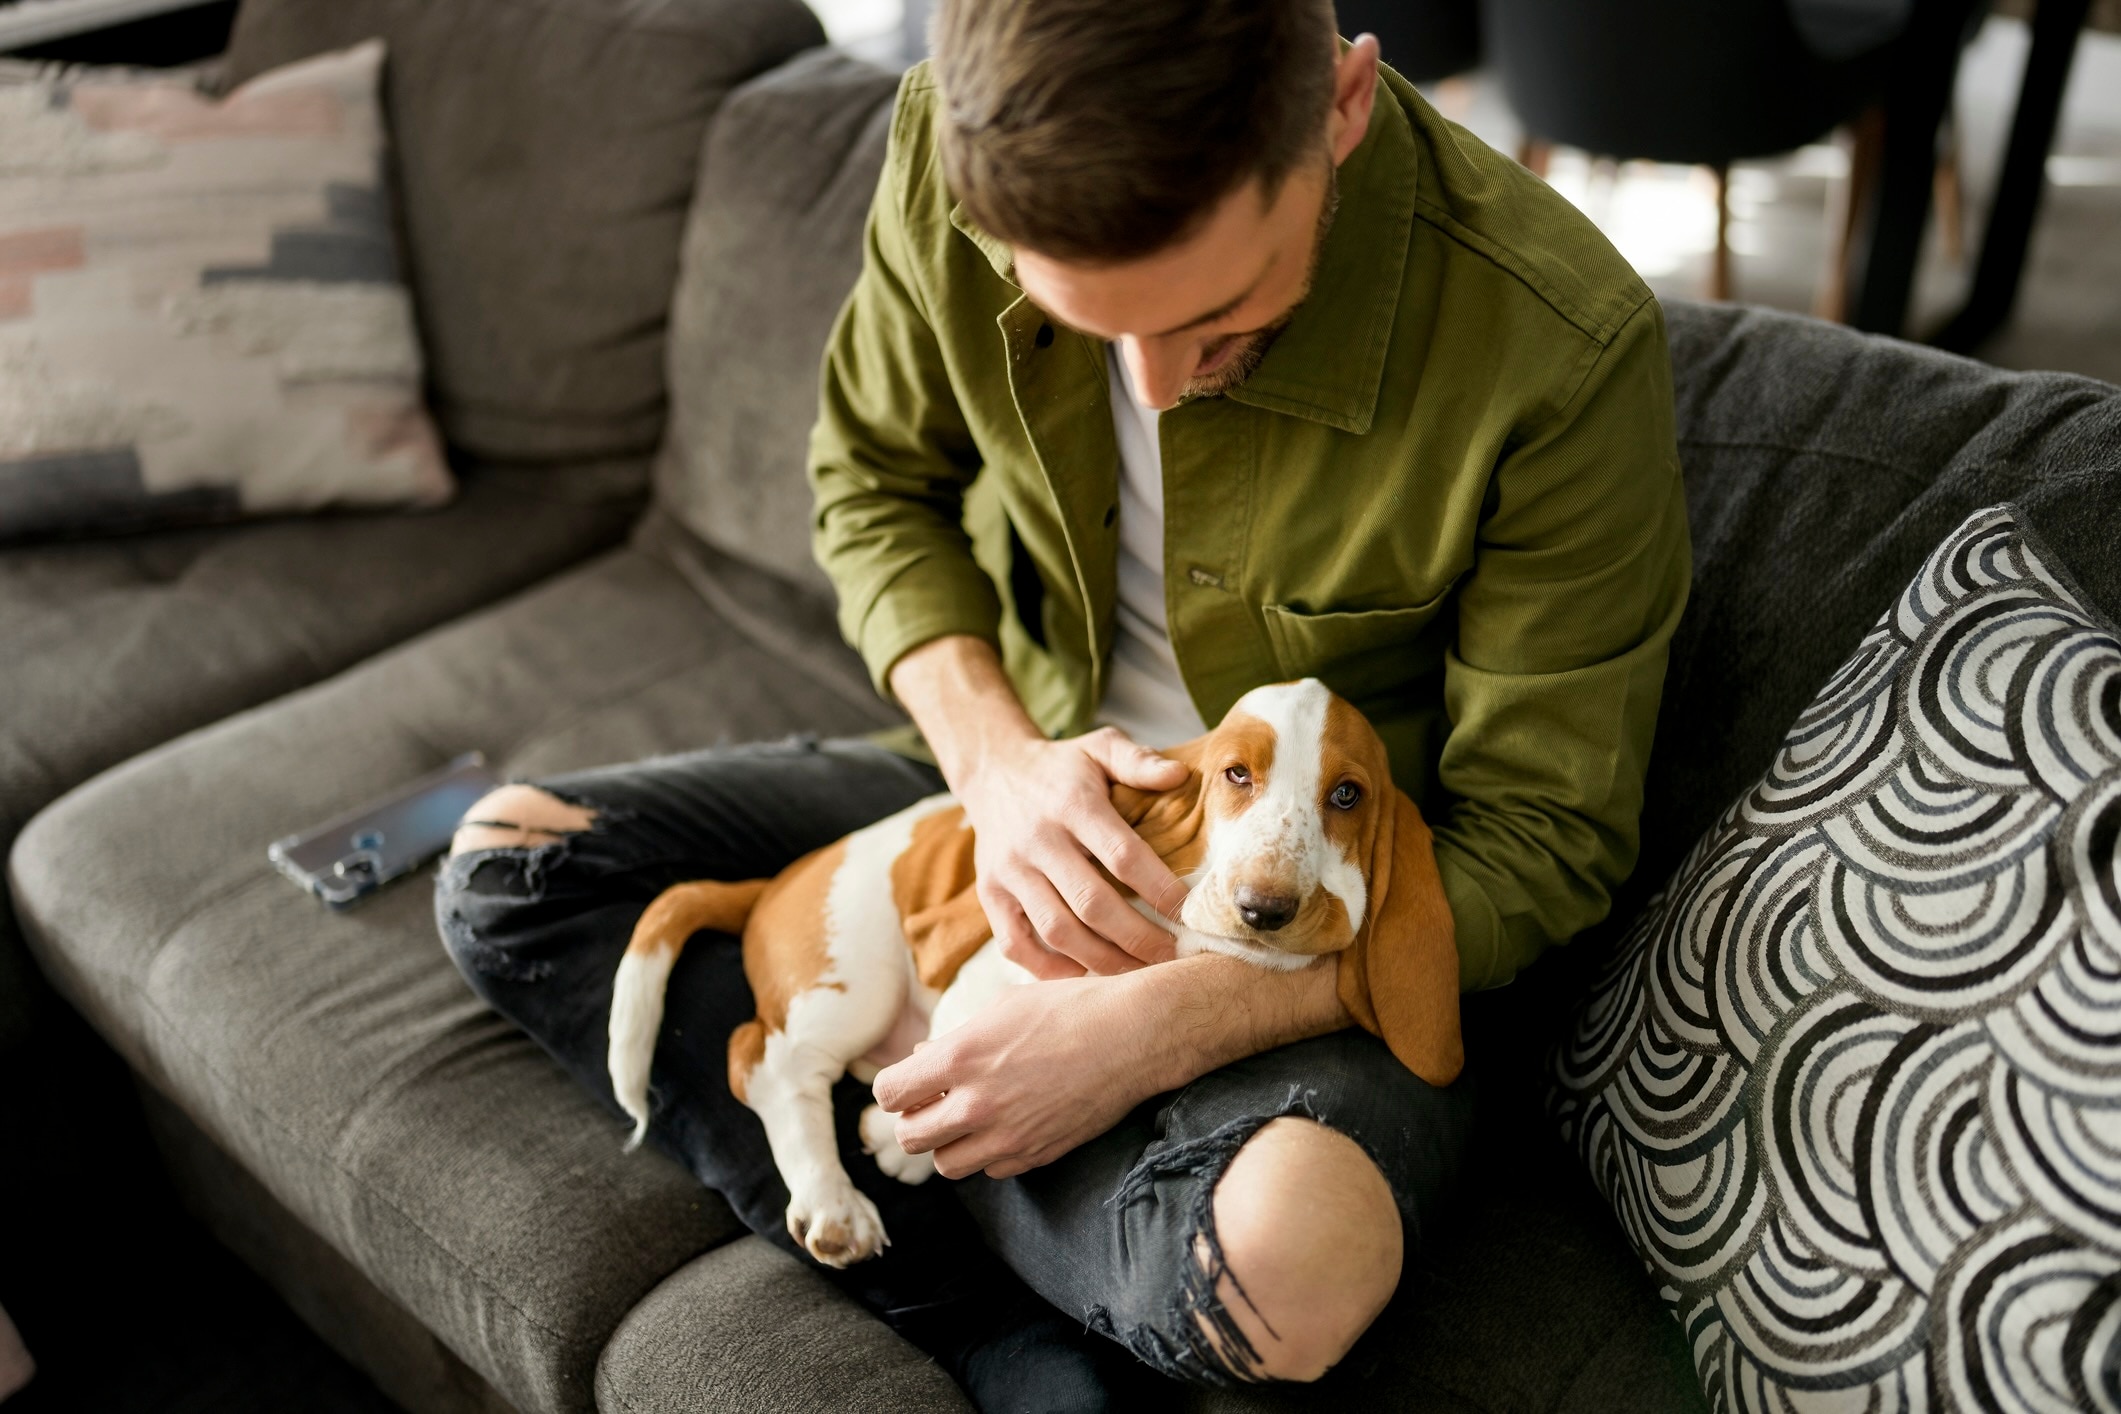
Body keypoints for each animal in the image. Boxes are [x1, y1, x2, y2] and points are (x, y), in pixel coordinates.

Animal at [602, 678, 1459, 1263]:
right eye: (1234, 776)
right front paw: (891, 1139)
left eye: (1346, 795)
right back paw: (833, 1203)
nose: (1264, 908)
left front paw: (895, 1137)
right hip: (850, 984)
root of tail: (776, 880)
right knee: (767, 1062)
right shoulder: (990, 978)